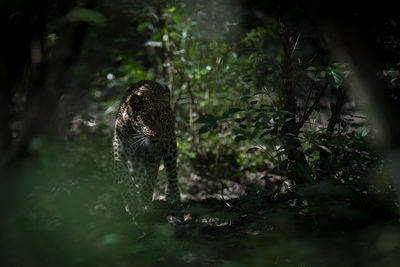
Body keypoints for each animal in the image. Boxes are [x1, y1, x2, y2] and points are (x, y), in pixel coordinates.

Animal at [111, 79, 179, 214]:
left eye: (163, 116)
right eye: (147, 117)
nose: (158, 134)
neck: (136, 136)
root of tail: (150, 81)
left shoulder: (154, 155)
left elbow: (149, 180)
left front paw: (145, 201)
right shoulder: (118, 157)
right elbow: (125, 179)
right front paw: (132, 202)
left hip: (170, 145)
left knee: (172, 169)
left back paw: (173, 196)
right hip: (135, 162)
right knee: (138, 176)